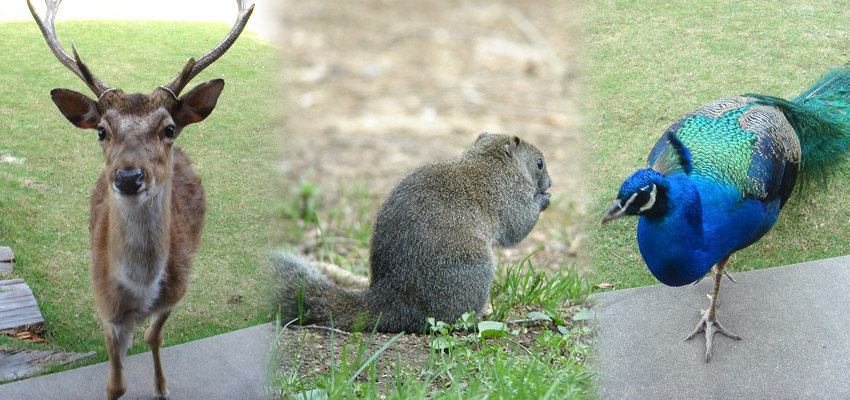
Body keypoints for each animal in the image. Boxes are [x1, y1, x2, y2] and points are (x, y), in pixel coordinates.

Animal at [29, 1, 255, 398]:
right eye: (101, 131)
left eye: (169, 128)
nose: (128, 177)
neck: (139, 291)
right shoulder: (106, 308)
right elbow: (115, 383)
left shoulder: (176, 293)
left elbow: (155, 336)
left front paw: (162, 387)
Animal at [272, 133, 548, 332]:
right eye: (539, 163)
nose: (551, 182)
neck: (490, 160)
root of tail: (393, 300)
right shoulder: (511, 196)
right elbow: (518, 227)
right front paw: (543, 199)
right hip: (472, 272)